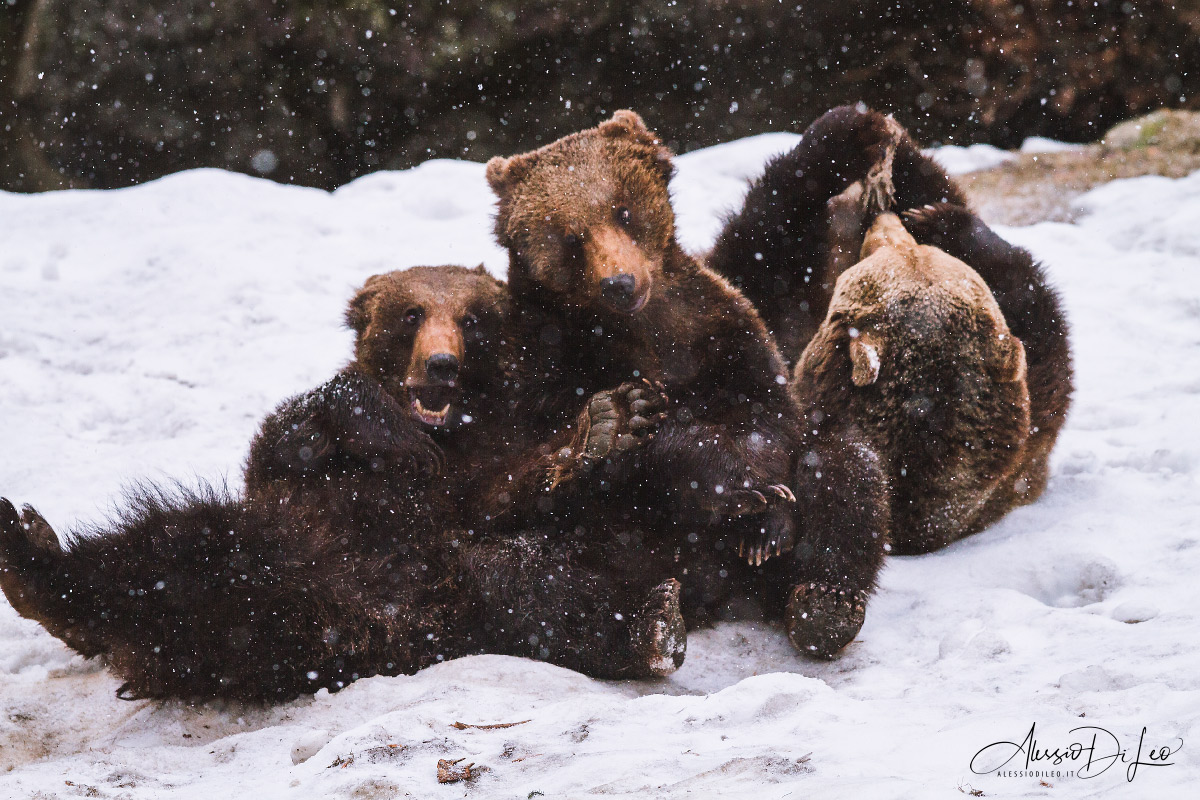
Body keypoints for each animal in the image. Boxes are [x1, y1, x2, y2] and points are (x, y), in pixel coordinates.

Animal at [0, 263, 686, 700]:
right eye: (411, 313)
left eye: (472, 319)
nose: (441, 363)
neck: (448, 434)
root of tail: (363, 629)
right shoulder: (303, 469)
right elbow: (288, 438)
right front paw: (384, 428)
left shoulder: (485, 471)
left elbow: (508, 496)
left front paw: (609, 422)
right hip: (265, 546)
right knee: (168, 556)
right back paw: (30, 555)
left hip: (462, 587)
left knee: (542, 591)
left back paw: (653, 623)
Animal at [480, 113, 892, 662]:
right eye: (570, 237)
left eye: (624, 210)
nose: (620, 283)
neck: (643, 333)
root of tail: (717, 592)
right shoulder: (543, 369)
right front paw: (630, 424)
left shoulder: (721, 327)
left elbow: (768, 412)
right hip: (606, 544)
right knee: (526, 576)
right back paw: (650, 622)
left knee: (848, 468)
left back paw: (825, 602)